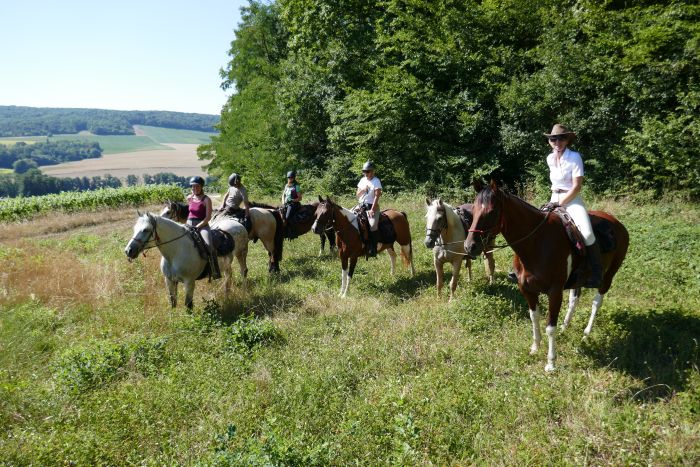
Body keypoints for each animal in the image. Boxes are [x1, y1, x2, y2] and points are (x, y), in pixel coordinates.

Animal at [464, 181, 628, 372]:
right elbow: (534, 317)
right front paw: (535, 347)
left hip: (609, 275)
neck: (537, 242)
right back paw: (565, 327)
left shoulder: (555, 292)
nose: (470, 246)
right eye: (473, 210)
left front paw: (551, 363)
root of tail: (617, 223)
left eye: (492, 212)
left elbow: (550, 326)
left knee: (596, 302)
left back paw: (586, 334)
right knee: (574, 299)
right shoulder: (527, 290)